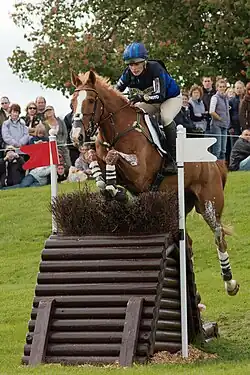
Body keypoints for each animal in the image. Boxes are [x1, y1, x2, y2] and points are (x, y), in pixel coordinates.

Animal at [71, 70, 239, 296]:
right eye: (72, 103)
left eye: (90, 101)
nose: (76, 136)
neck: (117, 130)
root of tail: (215, 163)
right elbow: (95, 165)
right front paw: (113, 190)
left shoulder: (140, 173)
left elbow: (114, 156)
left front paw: (117, 190)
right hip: (179, 204)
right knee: (188, 241)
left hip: (208, 204)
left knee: (219, 235)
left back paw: (230, 283)